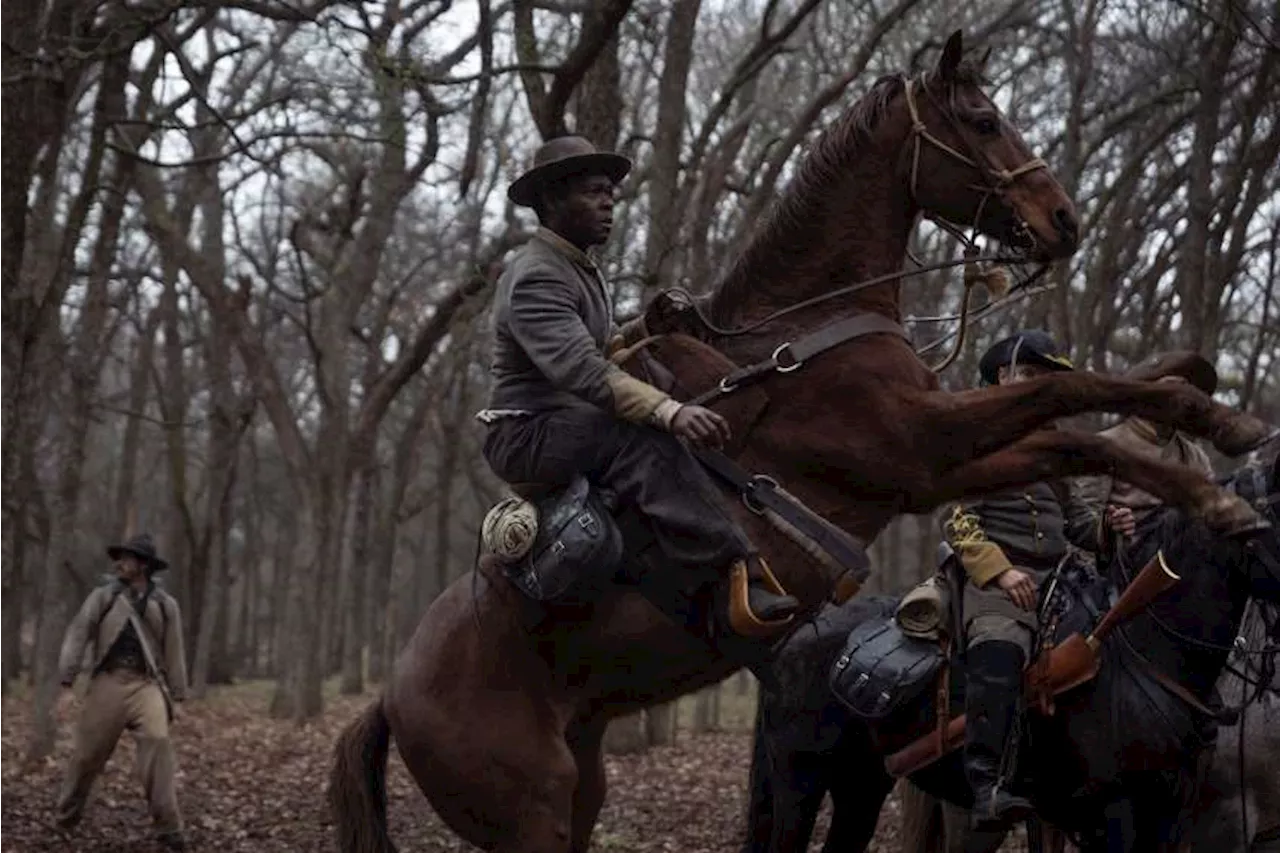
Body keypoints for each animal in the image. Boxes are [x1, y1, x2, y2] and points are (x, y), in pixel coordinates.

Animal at [747, 455, 1280, 845]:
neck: (1148, 653)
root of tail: (798, 636)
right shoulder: (1118, 811)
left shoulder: (1167, 817)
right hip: (802, 782)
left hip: (862, 787)